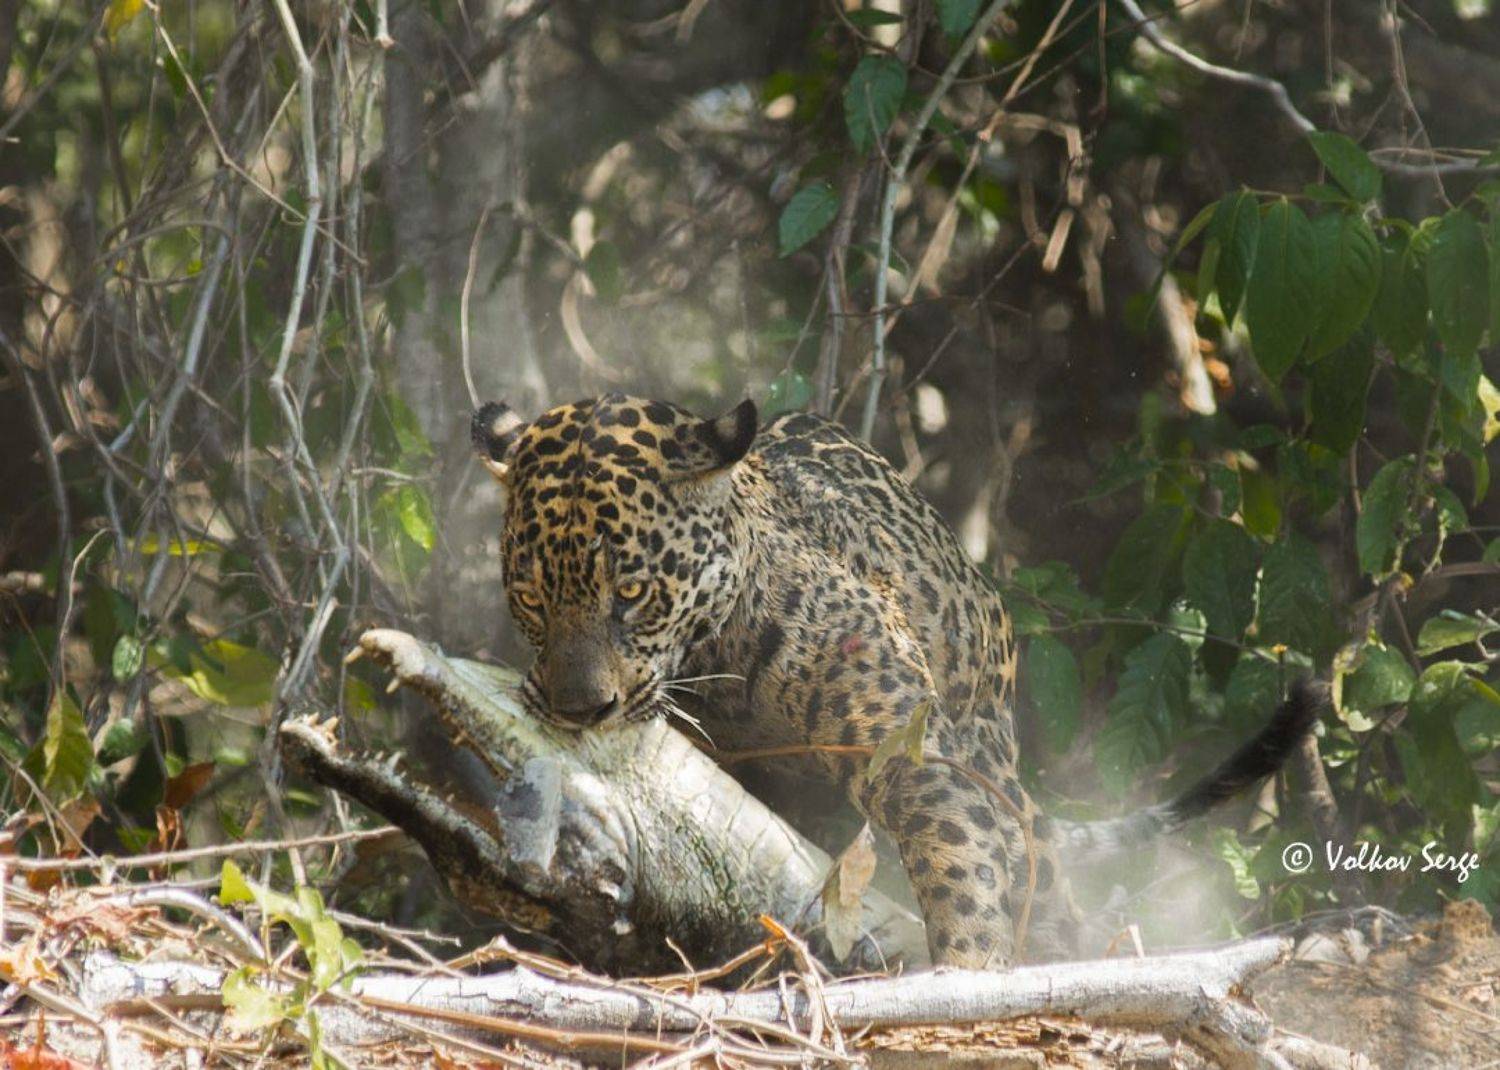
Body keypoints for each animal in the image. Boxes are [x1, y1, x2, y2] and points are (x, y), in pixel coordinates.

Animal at [470, 392, 1319, 968]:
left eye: (632, 592)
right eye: (533, 598)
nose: (581, 710)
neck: (716, 670)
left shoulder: (916, 757)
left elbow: (960, 870)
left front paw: (970, 974)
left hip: (990, 752)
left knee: (1037, 879)